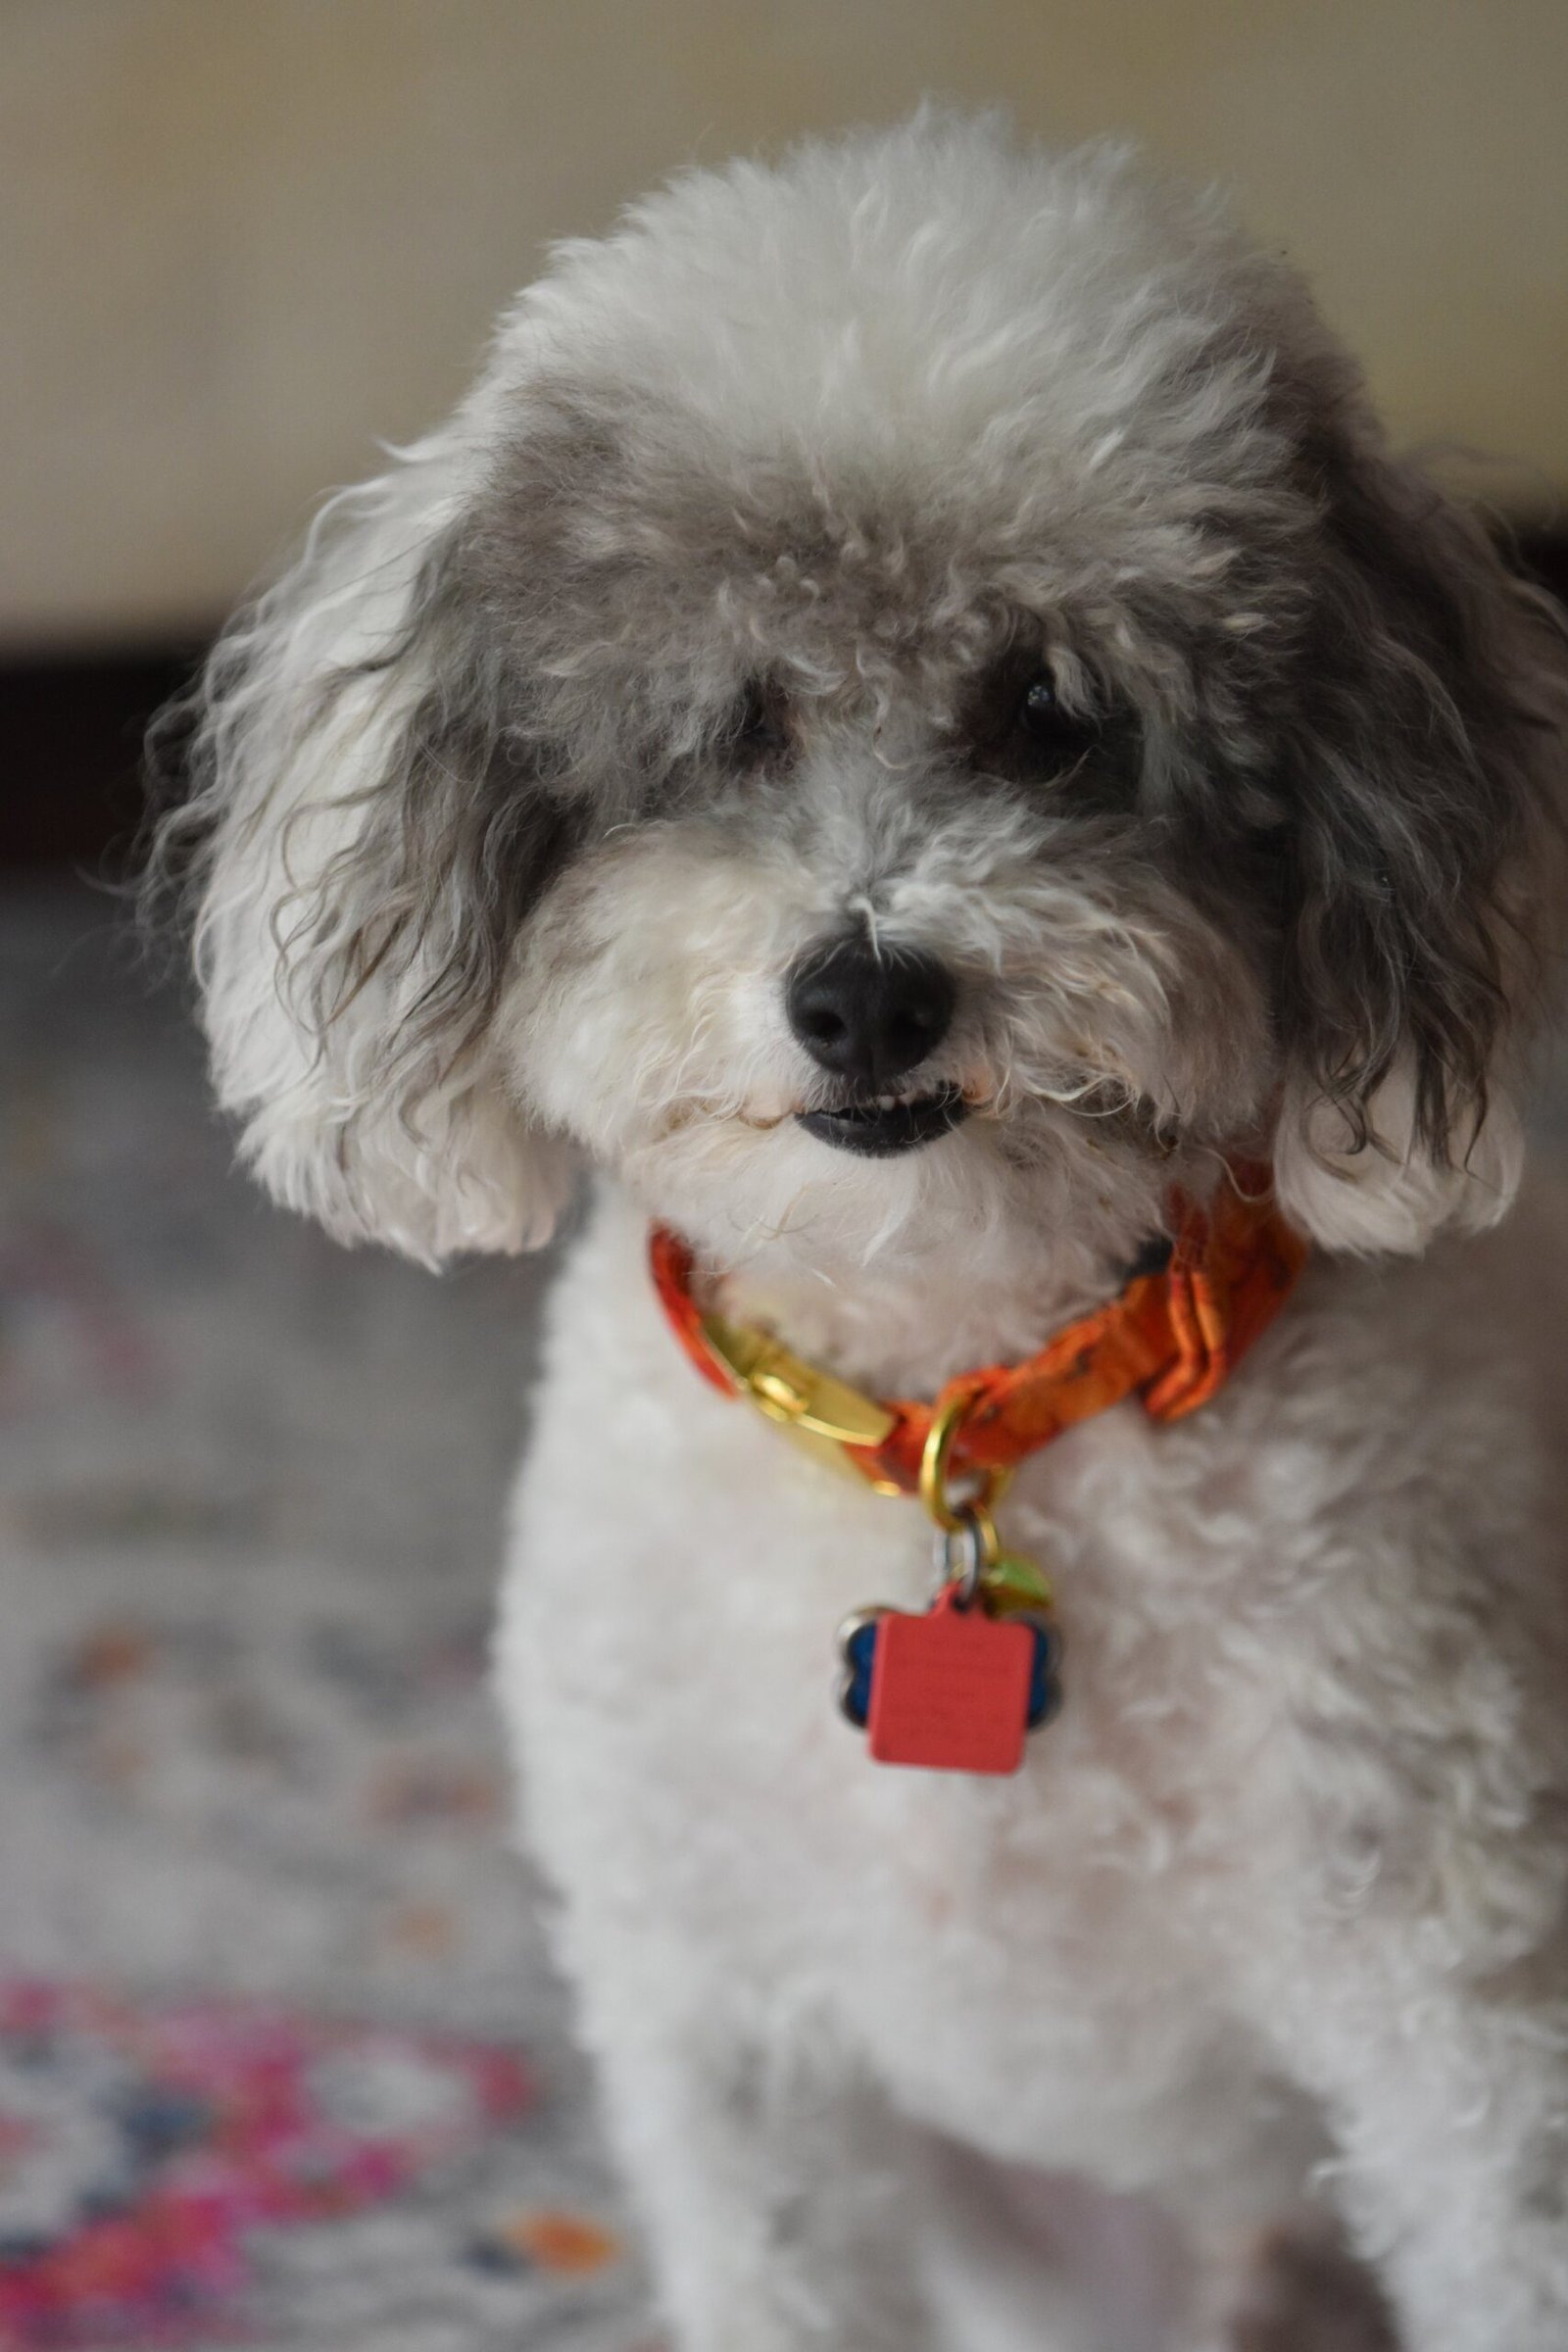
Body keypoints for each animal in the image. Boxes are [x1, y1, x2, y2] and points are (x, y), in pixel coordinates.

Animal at [156, 115, 1568, 2352]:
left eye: (1049, 710)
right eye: (736, 721)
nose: (869, 994)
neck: (947, 1390)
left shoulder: (1463, 2024)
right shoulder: (730, 2042)